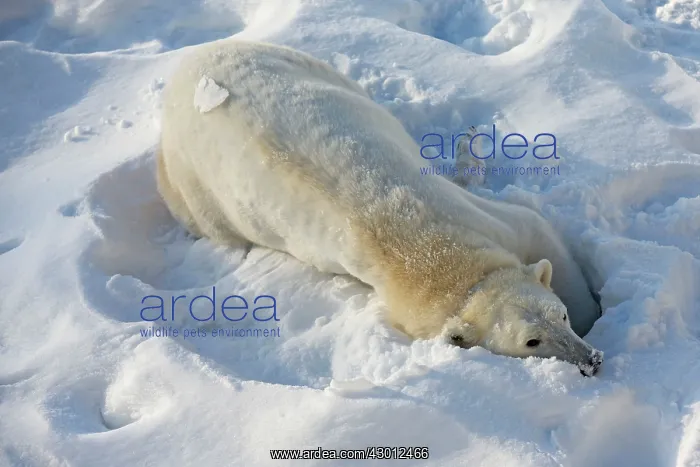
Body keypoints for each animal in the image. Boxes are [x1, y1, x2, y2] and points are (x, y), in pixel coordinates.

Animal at [157, 39, 604, 376]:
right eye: (531, 341)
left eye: (560, 315)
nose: (591, 360)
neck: (428, 254)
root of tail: (186, 66)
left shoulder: (490, 222)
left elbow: (537, 227)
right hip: (196, 187)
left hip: (294, 62)